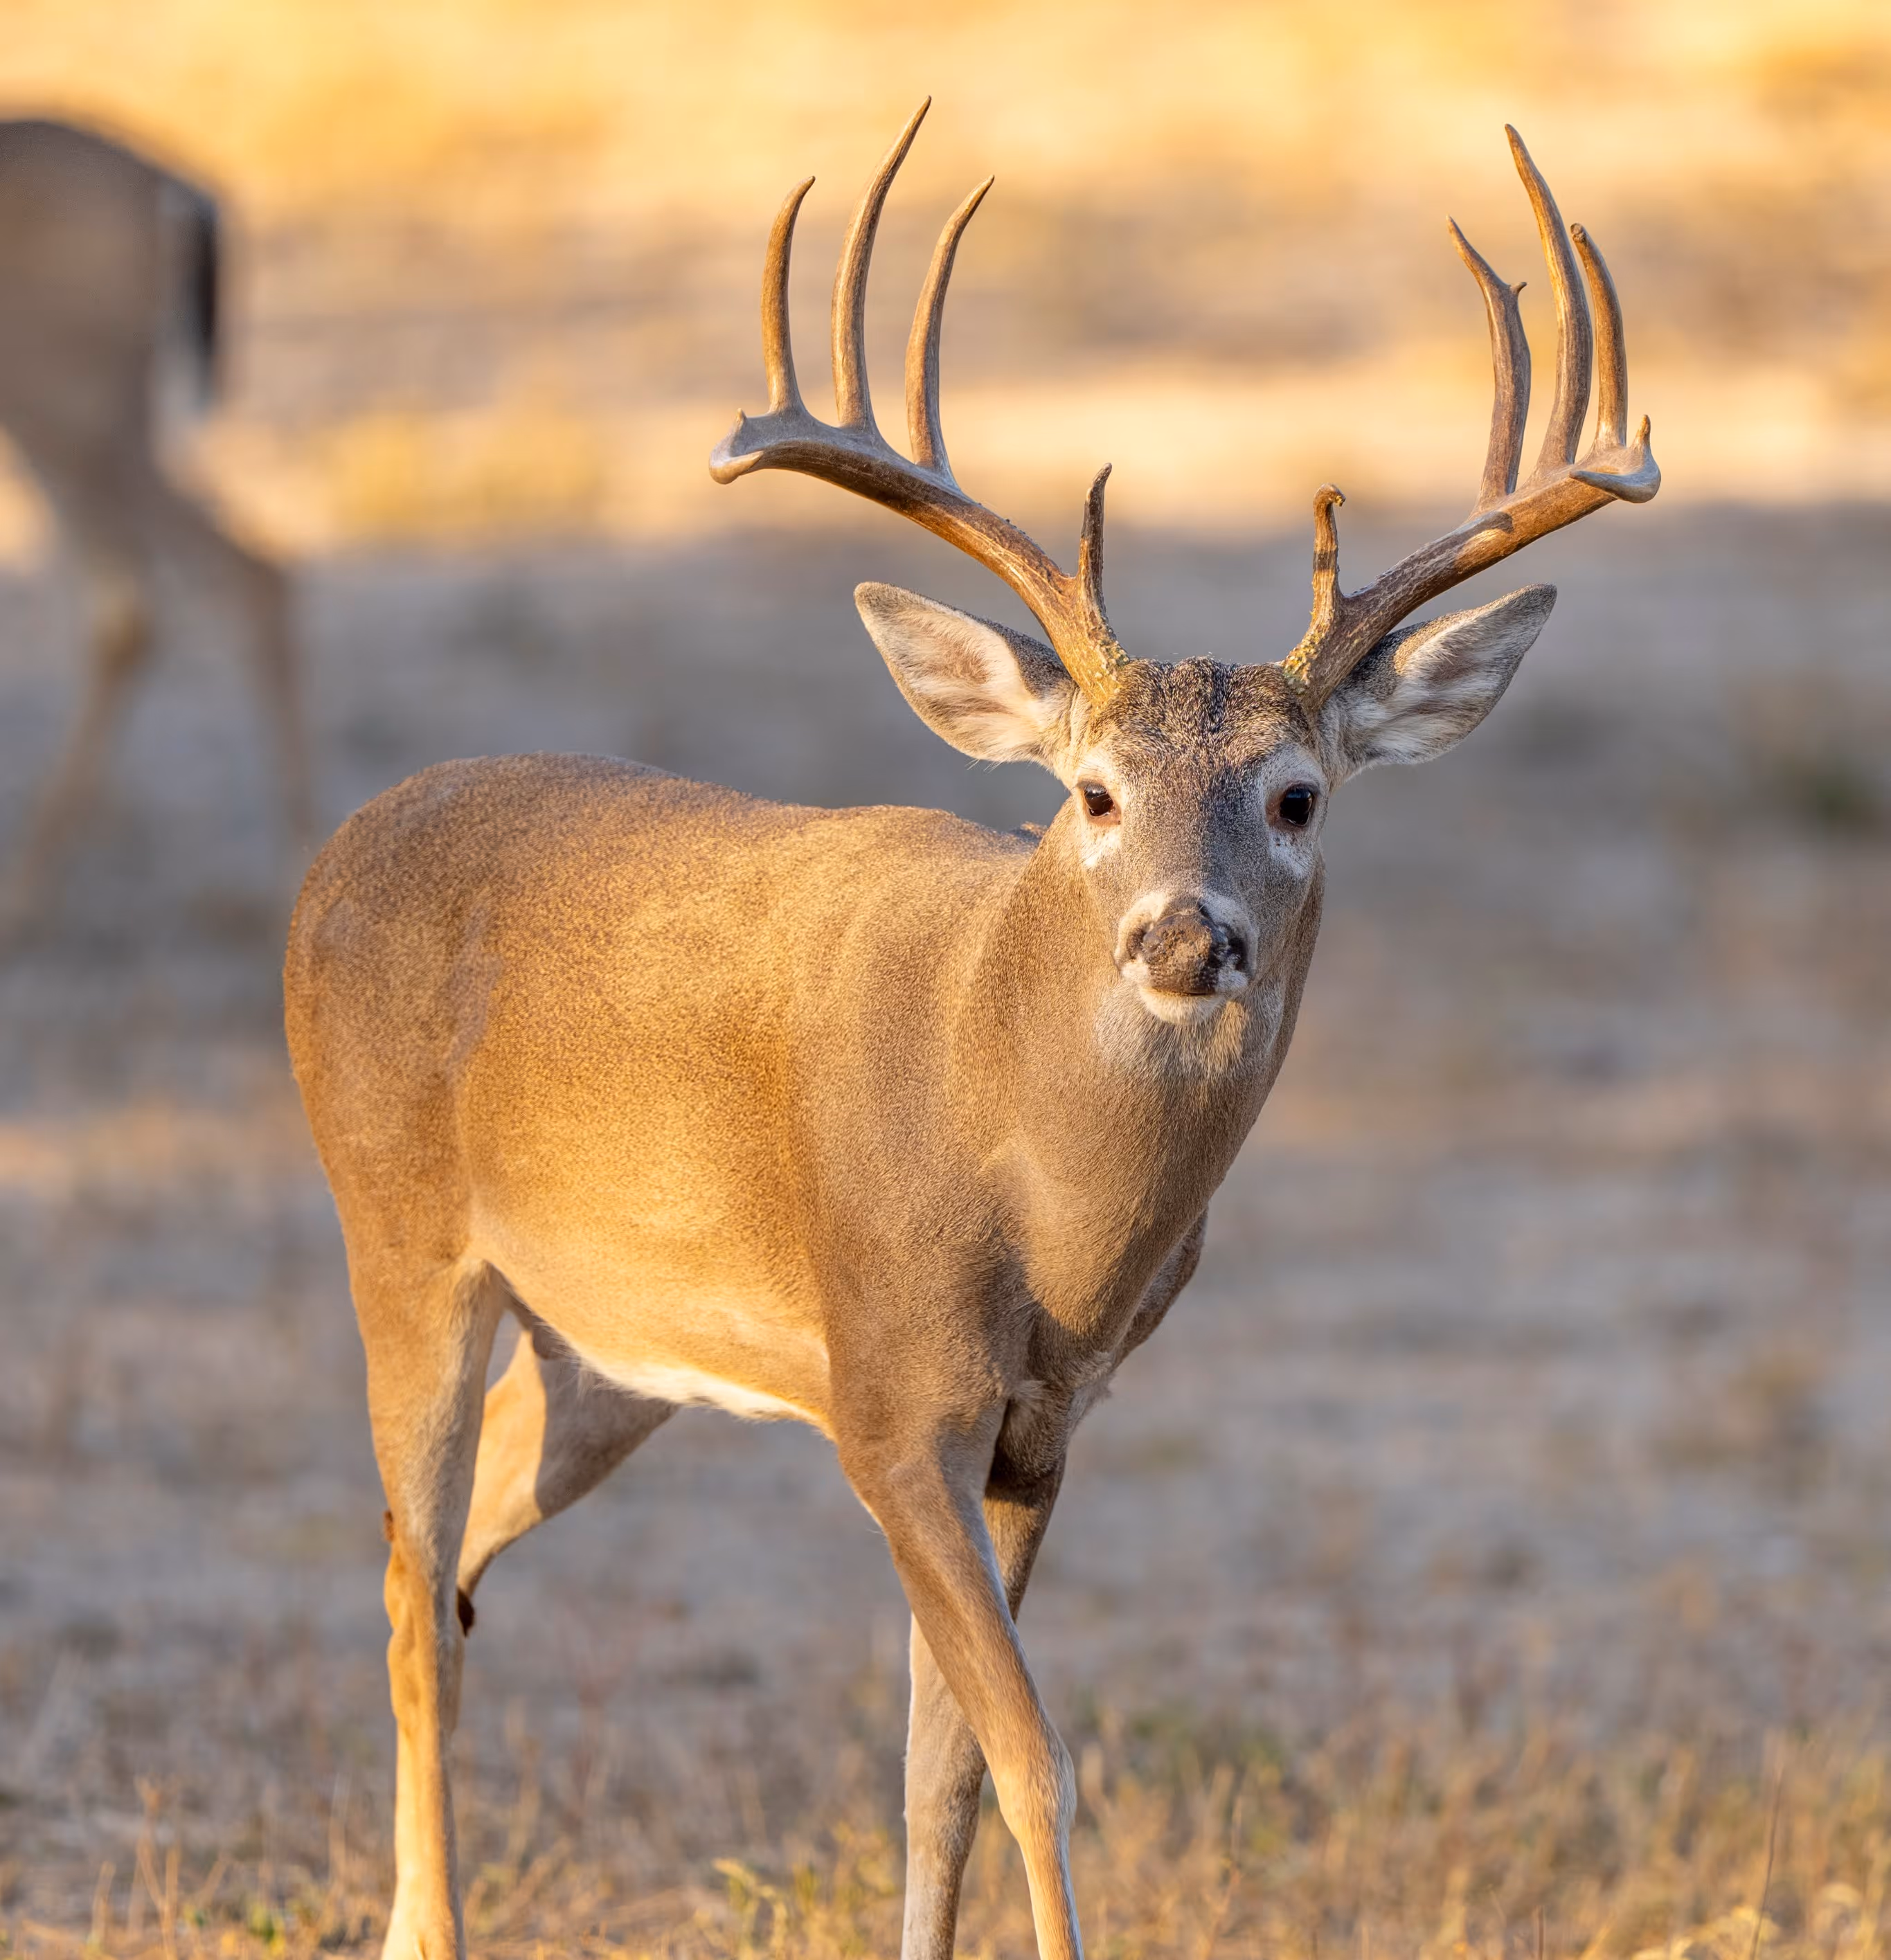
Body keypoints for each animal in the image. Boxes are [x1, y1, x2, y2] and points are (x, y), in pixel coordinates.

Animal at [284, 104, 1658, 1960]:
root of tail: (340, 848)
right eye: (1091, 792)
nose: (1184, 934)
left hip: (602, 1349)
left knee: (458, 1555)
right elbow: (1027, 1750)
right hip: (402, 1234)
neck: (1034, 1181)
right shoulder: (888, 1394)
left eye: (1296, 795)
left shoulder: (1045, 1424)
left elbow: (935, 1764)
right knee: (409, 1582)